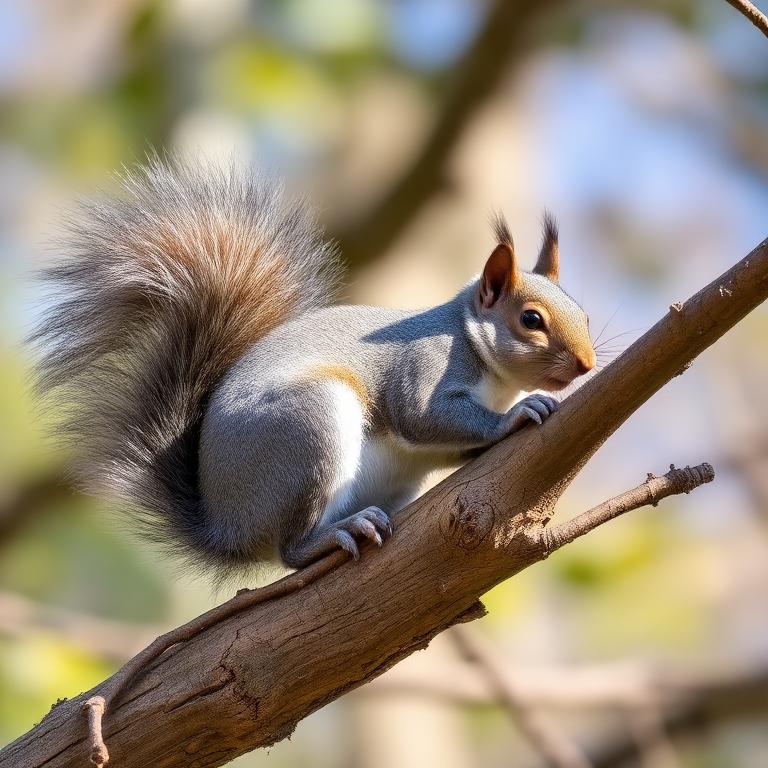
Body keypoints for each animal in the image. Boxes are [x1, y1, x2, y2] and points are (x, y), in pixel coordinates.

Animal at [34, 160, 595, 578]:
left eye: (585, 314)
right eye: (531, 320)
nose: (587, 365)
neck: (492, 370)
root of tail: (227, 526)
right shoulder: (426, 366)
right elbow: (422, 416)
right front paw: (516, 416)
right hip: (310, 429)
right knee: (291, 549)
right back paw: (335, 534)